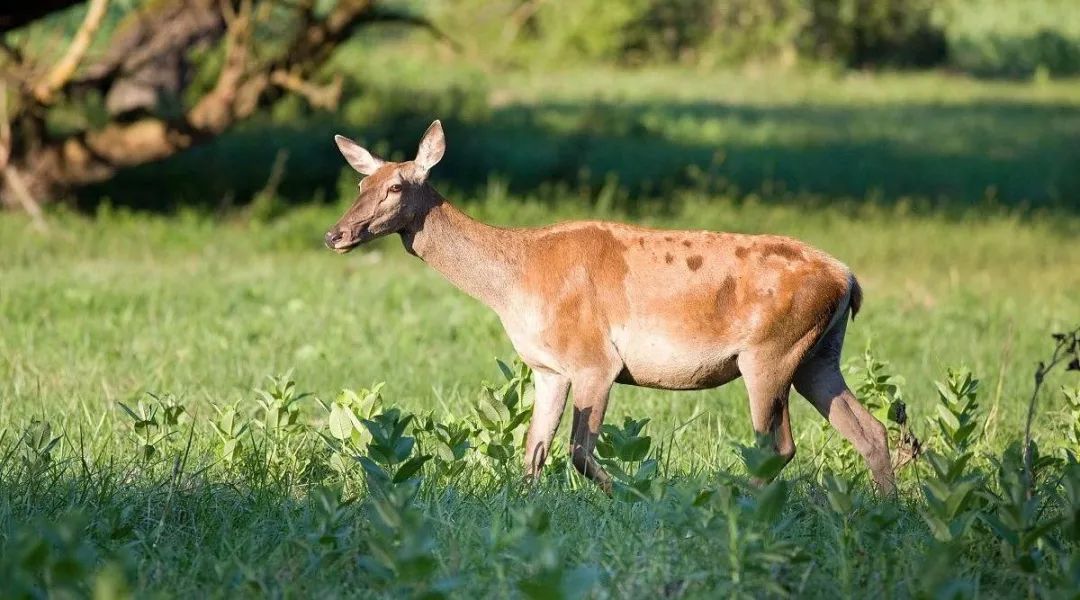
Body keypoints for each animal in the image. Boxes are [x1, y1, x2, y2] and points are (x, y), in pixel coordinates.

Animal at [326, 120, 894, 492]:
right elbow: (532, 451)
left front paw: (633, 495)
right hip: (818, 355)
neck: (513, 282)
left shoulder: (595, 359)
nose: (335, 234)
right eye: (360, 183)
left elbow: (579, 451)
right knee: (871, 430)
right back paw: (885, 507)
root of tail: (849, 279)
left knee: (774, 445)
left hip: (770, 352)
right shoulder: (547, 368)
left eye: (396, 186)